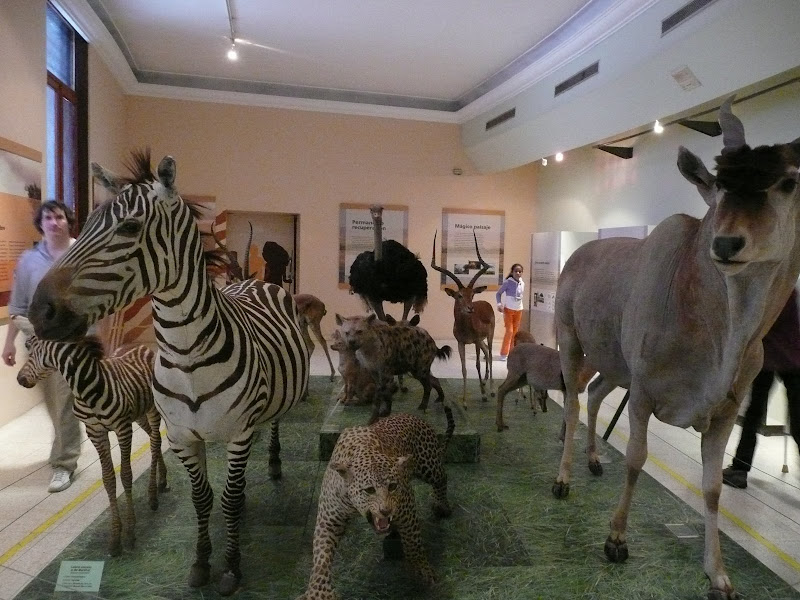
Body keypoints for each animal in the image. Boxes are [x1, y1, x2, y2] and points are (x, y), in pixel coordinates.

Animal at [17, 334, 166, 557]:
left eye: (31, 351)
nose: (19, 379)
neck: (84, 390)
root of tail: (139, 345)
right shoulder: (96, 433)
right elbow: (108, 479)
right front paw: (115, 537)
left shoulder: (122, 428)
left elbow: (126, 475)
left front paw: (130, 531)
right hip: (138, 414)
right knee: (153, 438)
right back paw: (162, 479)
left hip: (152, 407)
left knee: (155, 441)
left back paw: (153, 494)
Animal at [431, 230, 495, 408]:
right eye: (459, 295)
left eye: (472, 294)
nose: (470, 308)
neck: (465, 328)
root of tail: (486, 303)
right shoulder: (461, 343)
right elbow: (464, 369)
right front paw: (465, 401)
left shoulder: (476, 340)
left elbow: (477, 364)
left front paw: (481, 395)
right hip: (481, 341)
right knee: (486, 354)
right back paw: (484, 385)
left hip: (488, 337)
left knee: (490, 354)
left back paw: (490, 390)